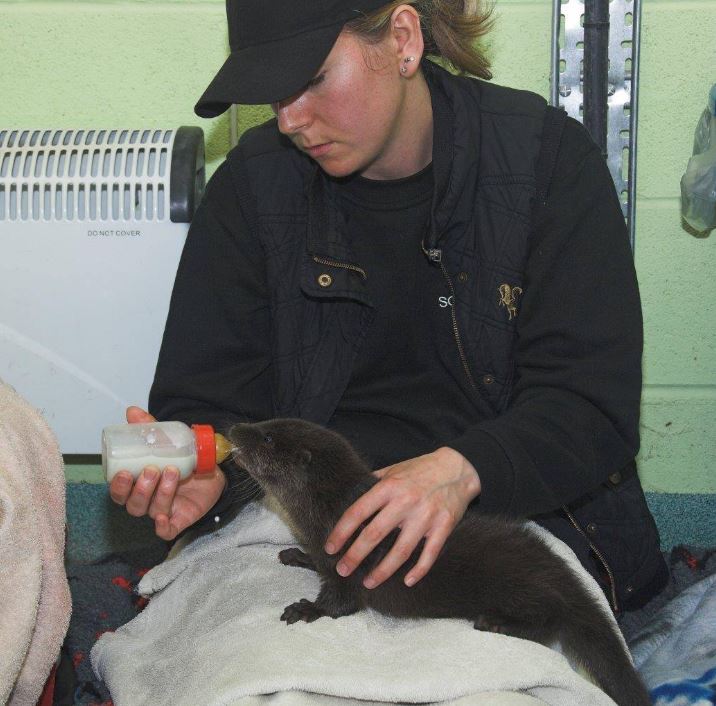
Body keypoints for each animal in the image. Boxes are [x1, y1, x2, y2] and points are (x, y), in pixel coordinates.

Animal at [228, 418, 648, 704]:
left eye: (267, 438)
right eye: (266, 423)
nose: (234, 427)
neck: (328, 512)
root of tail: (557, 568)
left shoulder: (348, 562)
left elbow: (340, 604)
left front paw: (304, 609)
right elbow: (314, 562)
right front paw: (296, 553)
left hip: (520, 587)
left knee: (551, 619)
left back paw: (495, 623)